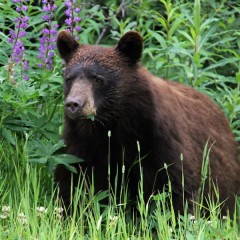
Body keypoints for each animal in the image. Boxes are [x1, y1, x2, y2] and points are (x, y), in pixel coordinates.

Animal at [54, 29, 240, 216]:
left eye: (98, 79)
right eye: (69, 78)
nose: (74, 104)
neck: (113, 124)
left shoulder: (161, 140)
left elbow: (179, 186)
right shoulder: (82, 143)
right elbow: (72, 182)